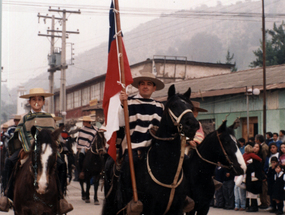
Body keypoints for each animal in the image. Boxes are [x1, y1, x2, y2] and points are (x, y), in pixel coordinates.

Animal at [103, 84, 199, 215]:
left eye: (191, 107)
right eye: (174, 105)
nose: (193, 125)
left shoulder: (177, 208)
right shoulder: (150, 209)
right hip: (112, 205)